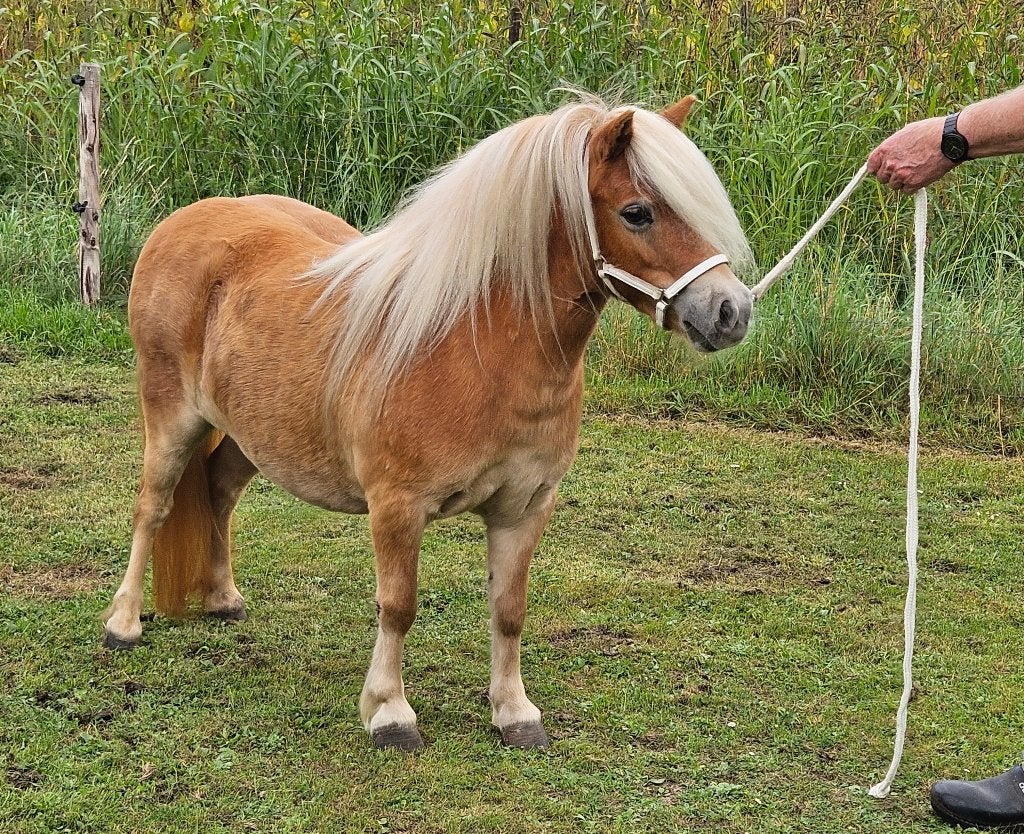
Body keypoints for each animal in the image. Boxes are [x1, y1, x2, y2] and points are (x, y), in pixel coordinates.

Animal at [102, 94, 754, 752]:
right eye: (636, 212)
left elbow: (509, 610)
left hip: (253, 434)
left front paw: (514, 712)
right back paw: (123, 623)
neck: (476, 344)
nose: (731, 311)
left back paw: (223, 598)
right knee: (152, 506)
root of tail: (183, 222)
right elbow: (398, 606)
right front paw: (389, 713)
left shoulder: (525, 507)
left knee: (218, 491)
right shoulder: (397, 506)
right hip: (171, 417)